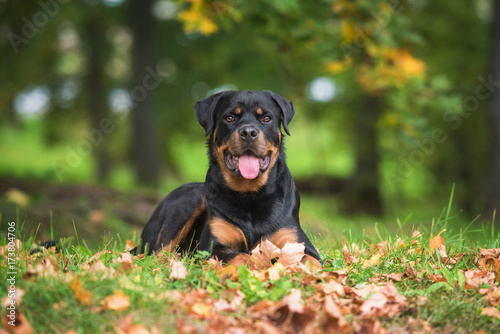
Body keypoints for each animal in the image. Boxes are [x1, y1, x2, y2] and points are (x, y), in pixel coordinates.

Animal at [137, 90, 322, 268]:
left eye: (266, 118)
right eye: (230, 117)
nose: (248, 132)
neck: (250, 194)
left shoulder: (297, 243)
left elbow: (309, 260)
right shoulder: (211, 247)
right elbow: (241, 256)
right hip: (188, 202)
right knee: (158, 254)